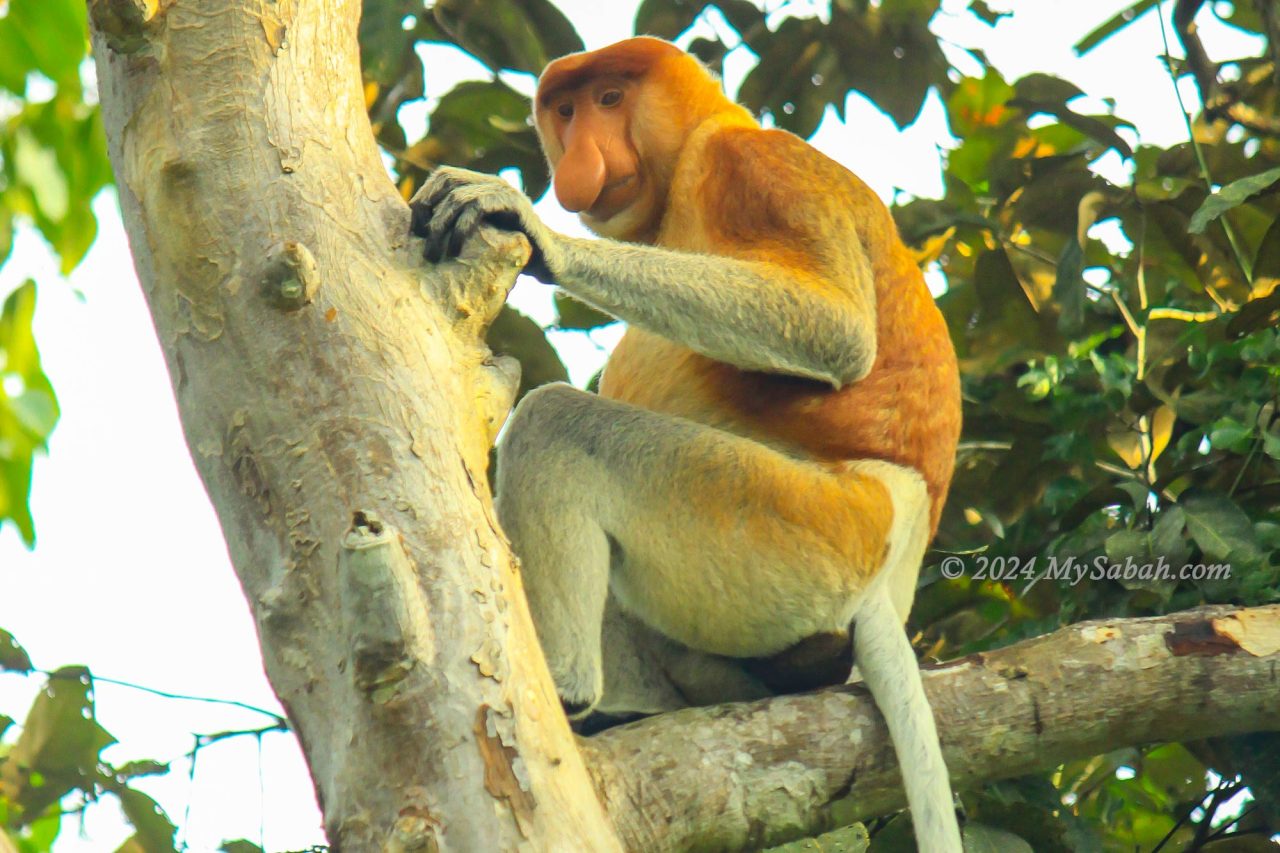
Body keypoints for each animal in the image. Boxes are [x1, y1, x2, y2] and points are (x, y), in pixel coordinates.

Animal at [409, 36, 962, 845]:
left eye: (610, 99)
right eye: (566, 110)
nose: (579, 153)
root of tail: (897, 554)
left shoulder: (749, 167)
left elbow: (832, 327)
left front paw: (534, 233)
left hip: (796, 527)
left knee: (558, 426)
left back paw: (567, 694)